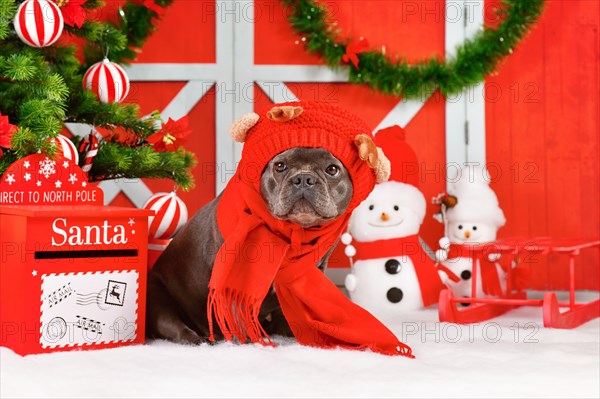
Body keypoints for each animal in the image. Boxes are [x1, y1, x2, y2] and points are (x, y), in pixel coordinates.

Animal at [145, 147, 352, 344]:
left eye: (332, 169)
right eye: (280, 166)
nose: (303, 178)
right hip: (157, 299)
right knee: (175, 327)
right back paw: (200, 339)